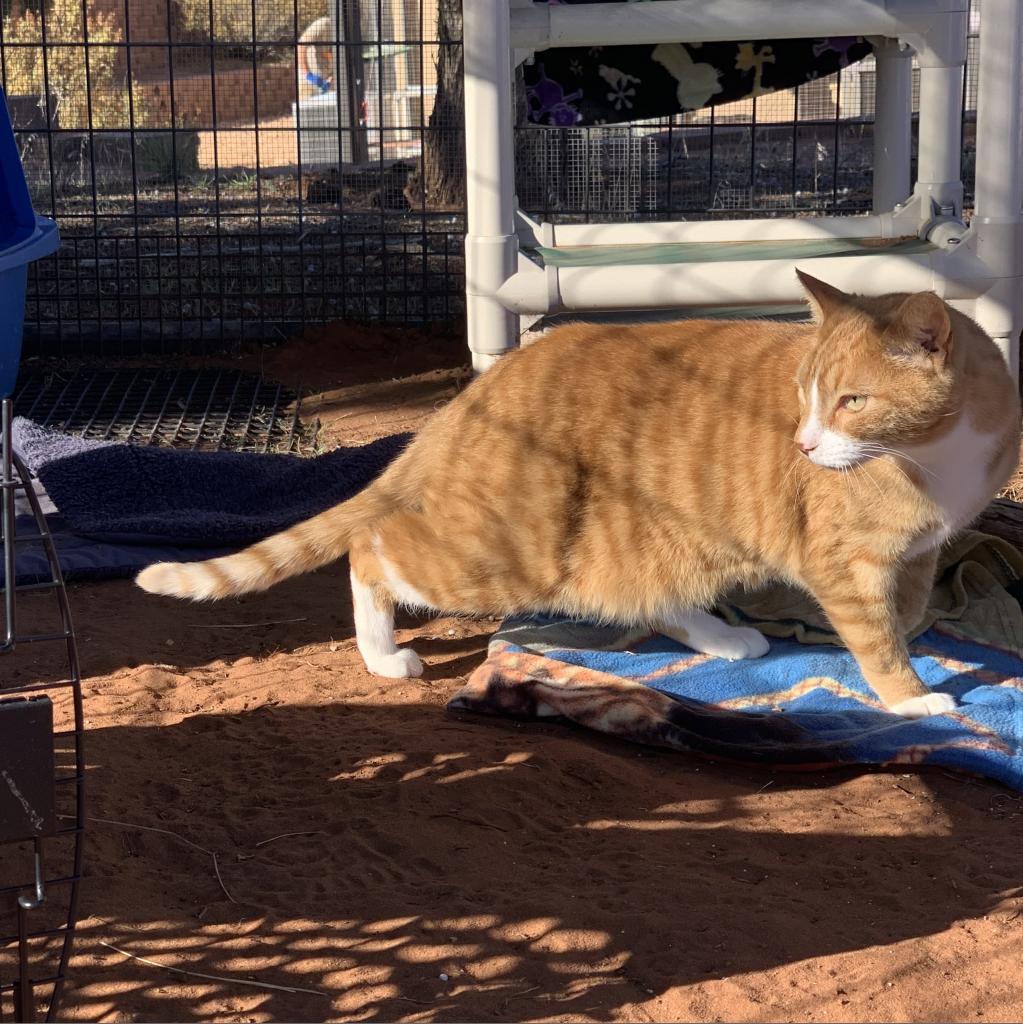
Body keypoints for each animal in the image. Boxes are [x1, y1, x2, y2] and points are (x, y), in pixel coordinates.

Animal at [138, 276, 1023, 716]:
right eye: (807, 398)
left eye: (849, 402)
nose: (802, 445)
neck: (929, 455)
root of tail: (472, 397)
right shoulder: (844, 563)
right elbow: (877, 641)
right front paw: (911, 700)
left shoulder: (920, 550)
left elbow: (909, 609)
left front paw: (919, 638)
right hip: (503, 552)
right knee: (372, 548)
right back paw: (381, 653)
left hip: (663, 537)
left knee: (649, 593)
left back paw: (721, 638)